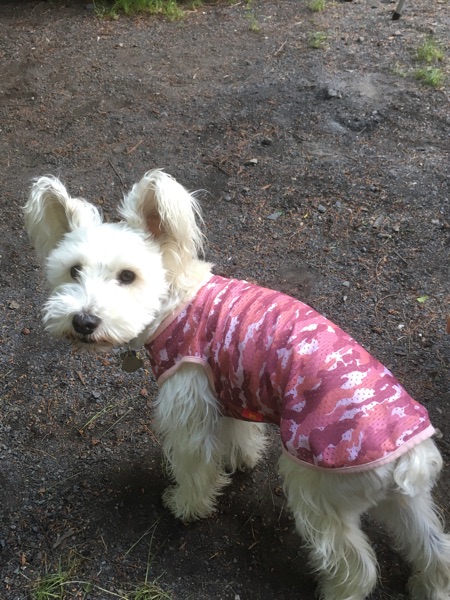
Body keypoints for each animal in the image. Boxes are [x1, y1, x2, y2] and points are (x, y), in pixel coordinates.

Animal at [24, 170, 450, 600]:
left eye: (128, 276)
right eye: (73, 271)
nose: (83, 321)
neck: (175, 300)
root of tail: (406, 457)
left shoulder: (188, 406)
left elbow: (195, 465)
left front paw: (187, 505)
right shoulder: (229, 387)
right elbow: (238, 433)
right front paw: (240, 460)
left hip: (316, 490)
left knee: (355, 565)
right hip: (405, 503)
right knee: (436, 550)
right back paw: (428, 586)